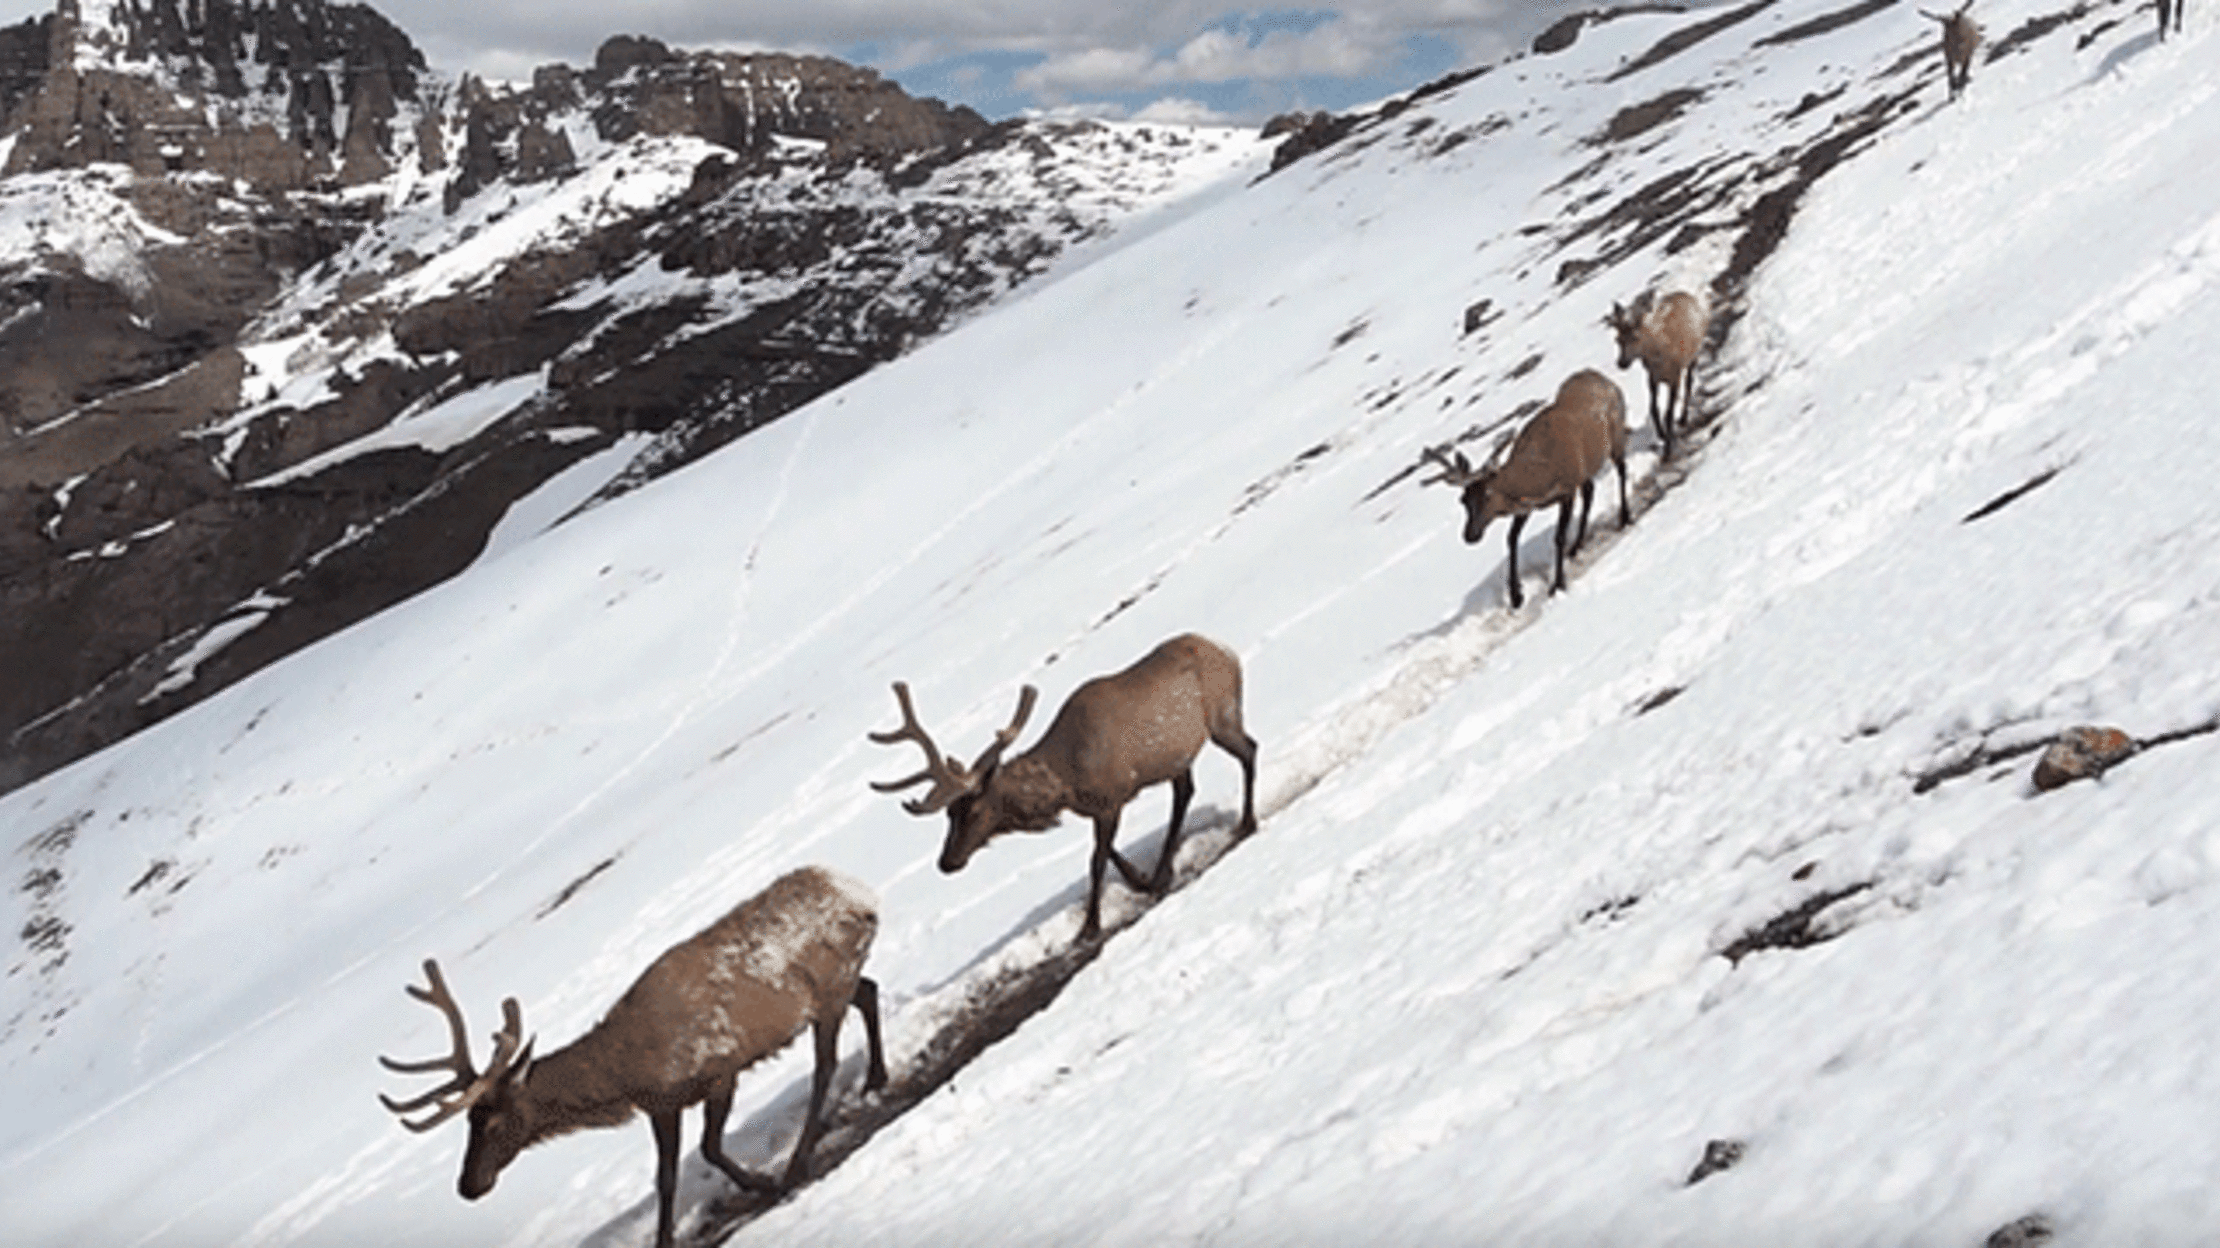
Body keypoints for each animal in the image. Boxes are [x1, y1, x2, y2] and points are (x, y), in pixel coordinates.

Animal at [381, 866, 892, 1243]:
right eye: (468, 1120)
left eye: (492, 1120)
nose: (468, 1186)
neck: (627, 1074)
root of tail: (859, 891)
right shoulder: (659, 1106)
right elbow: (665, 1177)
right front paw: (668, 1235)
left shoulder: (719, 1069)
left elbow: (707, 1149)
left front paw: (760, 1183)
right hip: (838, 986)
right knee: (869, 991)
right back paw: (875, 1078)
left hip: (829, 988)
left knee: (825, 1064)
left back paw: (800, 1158)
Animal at [879, 635, 1269, 937]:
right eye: (948, 813)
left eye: (973, 809)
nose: (946, 862)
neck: (1066, 781)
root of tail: (1225, 648)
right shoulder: (1096, 807)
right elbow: (1108, 851)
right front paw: (1141, 880)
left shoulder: (1111, 800)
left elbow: (1096, 860)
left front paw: (1089, 927)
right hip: (1177, 756)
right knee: (1185, 792)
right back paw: (1163, 871)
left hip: (1223, 716)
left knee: (1249, 750)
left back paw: (1246, 822)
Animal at [1420, 364, 1633, 608]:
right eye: (1463, 500)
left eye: (1488, 493)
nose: (1470, 535)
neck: (1539, 479)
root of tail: (1604, 377)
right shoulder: (1527, 507)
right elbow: (1511, 539)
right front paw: (1516, 594)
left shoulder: (1567, 489)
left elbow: (1558, 537)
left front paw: (1558, 584)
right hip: (1587, 468)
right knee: (1590, 492)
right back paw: (1576, 545)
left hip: (1616, 435)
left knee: (1621, 470)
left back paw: (1625, 517)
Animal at [1607, 288, 1704, 457]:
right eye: (1617, 339)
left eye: (1635, 337)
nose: (1622, 363)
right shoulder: (1652, 377)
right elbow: (1653, 408)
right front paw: (1661, 434)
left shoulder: (1675, 376)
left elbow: (1669, 413)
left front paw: (1668, 449)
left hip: (1693, 357)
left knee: (1689, 383)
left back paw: (1683, 418)